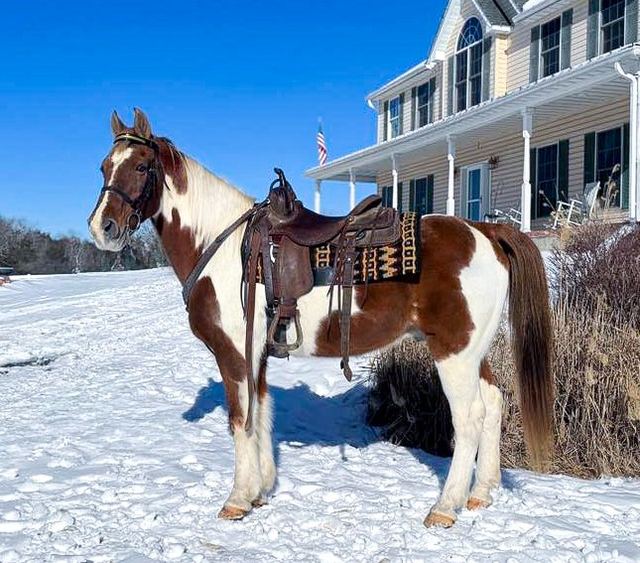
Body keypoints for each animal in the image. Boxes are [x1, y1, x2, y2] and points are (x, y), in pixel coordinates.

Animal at [88, 108, 554, 528]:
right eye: (105, 166)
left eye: (142, 166)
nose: (101, 228)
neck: (224, 247)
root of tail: (485, 231)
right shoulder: (257, 355)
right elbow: (261, 414)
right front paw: (260, 491)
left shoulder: (233, 353)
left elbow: (240, 420)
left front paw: (237, 499)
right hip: (474, 351)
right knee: (494, 403)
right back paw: (480, 493)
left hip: (453, 353)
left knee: (470, 417)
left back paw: (445, 506)